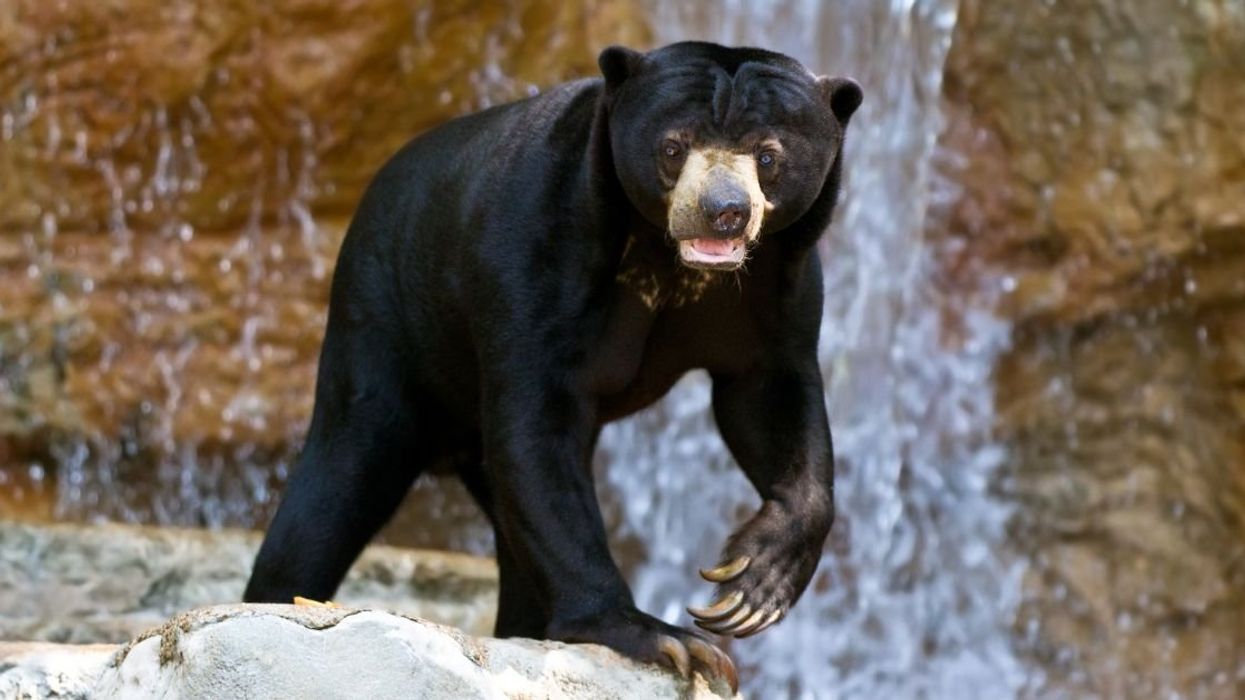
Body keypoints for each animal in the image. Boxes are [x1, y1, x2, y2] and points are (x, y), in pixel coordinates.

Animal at [244, 41, 861, 690]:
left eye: (768, 155)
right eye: (673, 147)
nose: (723, 212)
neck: (672, 263)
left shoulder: (781, 286)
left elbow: (769, 399)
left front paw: (750, 586)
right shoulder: (535, 250)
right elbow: (535, 423)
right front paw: (665, 639)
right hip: (383, 322)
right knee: (336, 483)